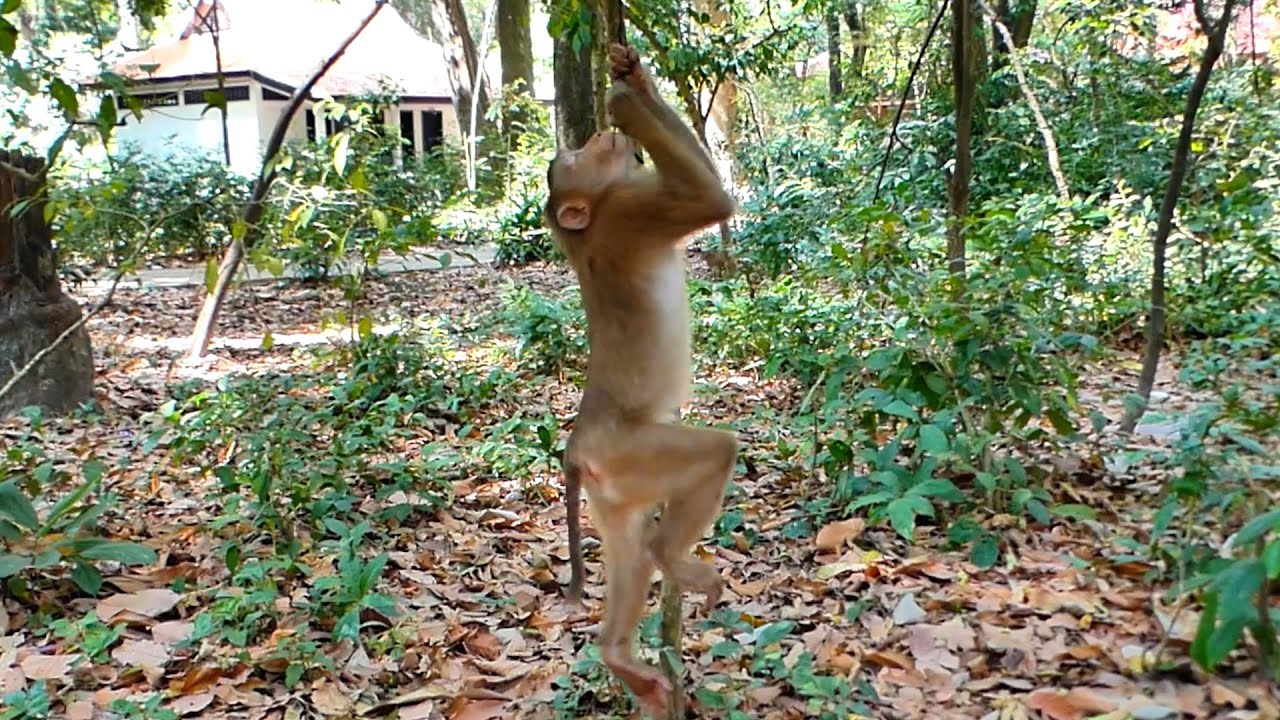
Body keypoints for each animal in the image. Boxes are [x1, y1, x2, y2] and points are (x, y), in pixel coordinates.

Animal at [545, 44, 738, 719]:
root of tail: (578, 447)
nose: (587, 138)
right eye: (570, 161)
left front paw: (631, 76)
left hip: (613, 485)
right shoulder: (633, 210)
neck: (589, 225)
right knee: (715, 452)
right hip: (634, 452)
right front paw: (630, 103)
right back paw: (672, 558)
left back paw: (617, 656)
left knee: (628, 553)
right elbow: (711, 203)